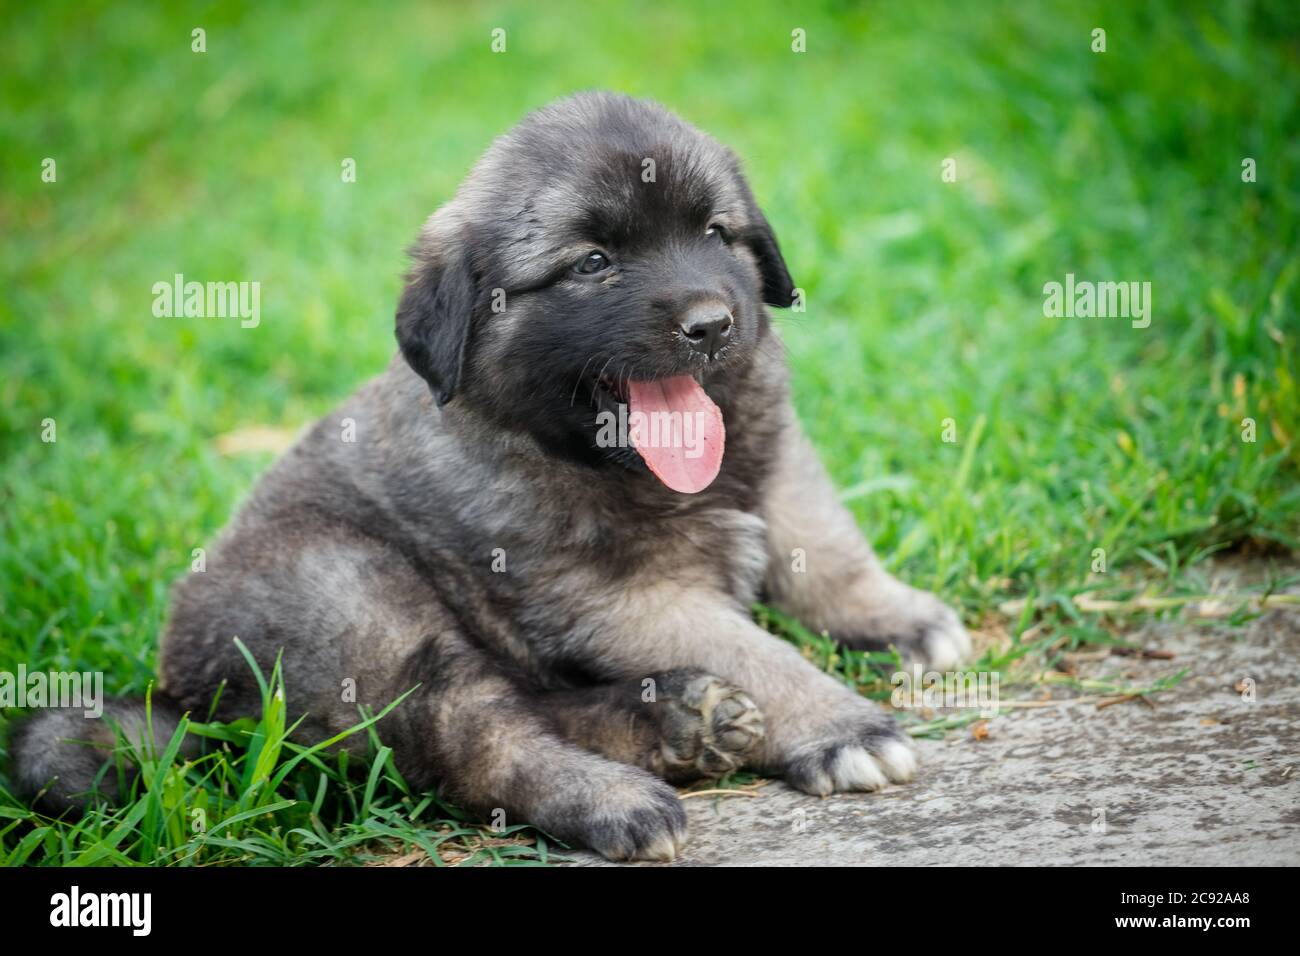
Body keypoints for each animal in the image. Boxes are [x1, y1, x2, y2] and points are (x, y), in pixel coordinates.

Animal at [10, 93, 967, 863]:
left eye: (713, 233)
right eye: (592, 263)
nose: (711, 323)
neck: (582, 447)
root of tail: (188, 698)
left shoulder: (775, 460)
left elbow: (824, 548)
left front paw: (898, 620)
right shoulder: (616, 597)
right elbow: (756, 650)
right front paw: (841, 725)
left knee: (531, 703)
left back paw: (679, 721)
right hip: (357, 604)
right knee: (477, 738)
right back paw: (619, 796)